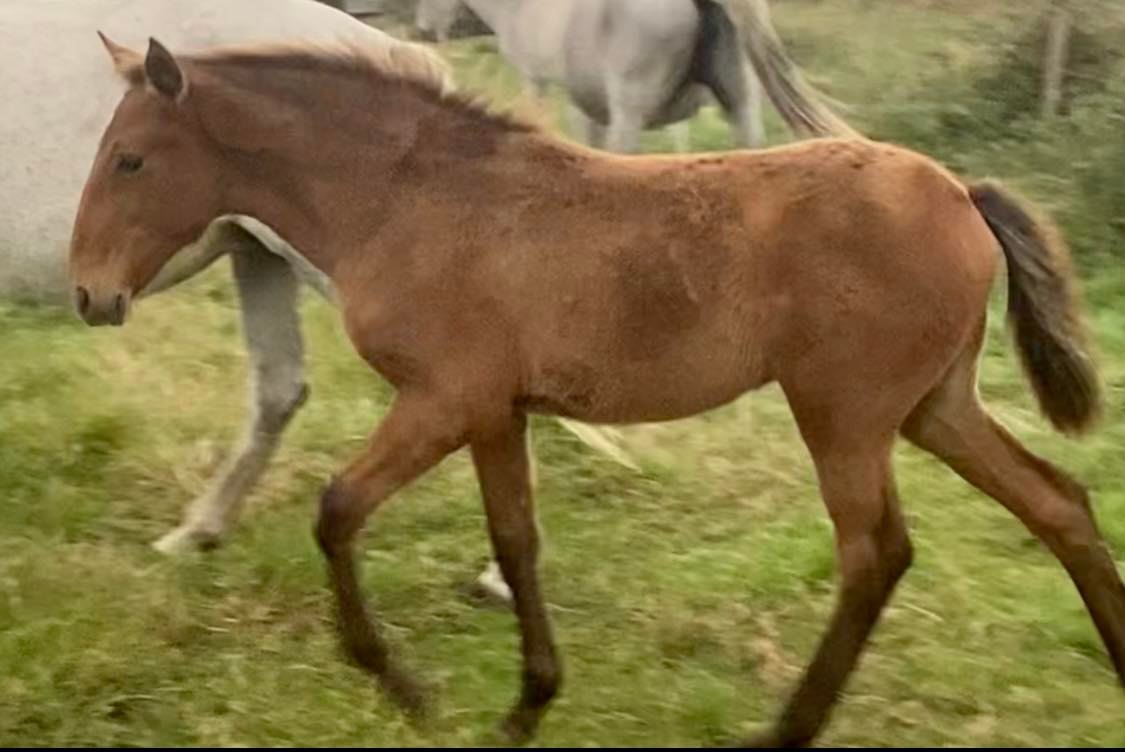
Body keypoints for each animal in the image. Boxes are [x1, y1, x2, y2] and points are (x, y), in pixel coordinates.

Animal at [70, 35, 1125, 747]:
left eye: (131, 158)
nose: (90, 294)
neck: (409, 198)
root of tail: (958, 193)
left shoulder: (443, 400)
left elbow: (337, 511)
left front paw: (405, 688)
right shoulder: (495, 411)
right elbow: (516, 541)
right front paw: (526, 705)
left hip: (845, 415)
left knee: (876, 555)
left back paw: (785, 728)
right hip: (934, 406)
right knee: (1059, 505)